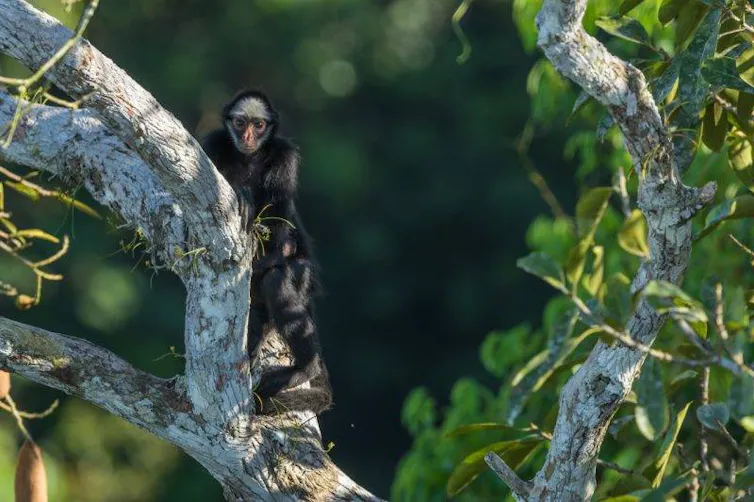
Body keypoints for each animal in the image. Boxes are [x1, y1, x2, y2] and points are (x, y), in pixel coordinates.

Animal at [201, 90, 332, 415]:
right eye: (240, 123)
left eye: (259, 125)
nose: (248, 136)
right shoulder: (212, 144)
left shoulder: (285, 154)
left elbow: (280, 230)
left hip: (303, 279)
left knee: (277, 278)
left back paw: (304, 368)